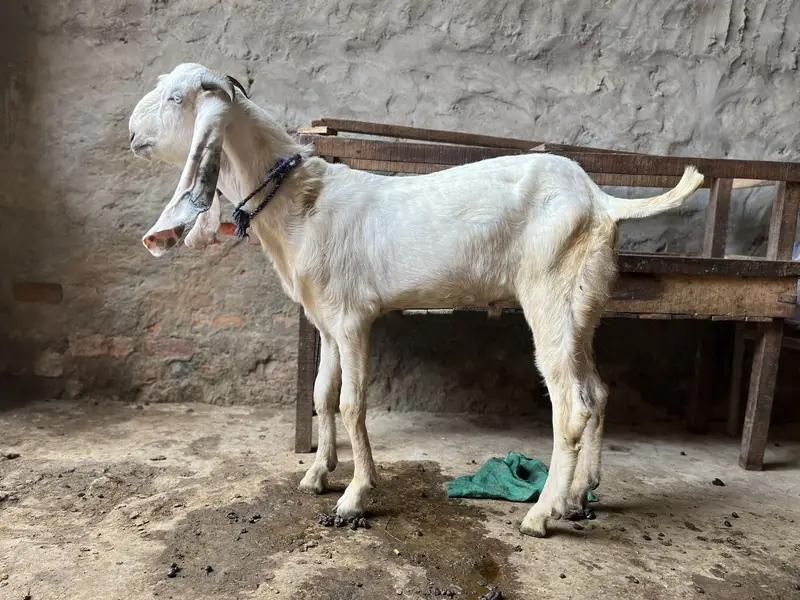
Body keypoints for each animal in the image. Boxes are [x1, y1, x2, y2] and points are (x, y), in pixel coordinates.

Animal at [129, 63, 704, 537]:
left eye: (177, 97)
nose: (131, 133)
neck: (302, 205)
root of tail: (602, 201)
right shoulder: (326, 321)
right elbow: (321, 395)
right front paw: (318, 472)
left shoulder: (353, 318)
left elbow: (351, 403)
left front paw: (355, 496)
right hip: (582, 304)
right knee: (598, 392)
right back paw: (580, 496)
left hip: (550, 292)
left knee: (573, 406)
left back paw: (543, 514)